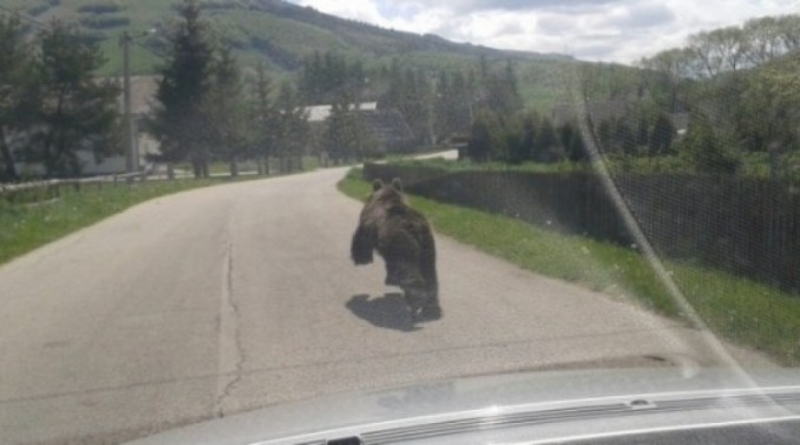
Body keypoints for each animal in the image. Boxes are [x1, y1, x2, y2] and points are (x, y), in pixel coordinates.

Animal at [350, 177, 440, 320]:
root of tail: (416, 226)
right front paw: (390, 279)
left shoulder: (369, 223)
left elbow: (361, 238)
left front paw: (360, 257)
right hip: (427, 249)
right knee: (430, 274)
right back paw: (432, 308)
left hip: (403, 244)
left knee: (410, 273)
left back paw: (417, 302)